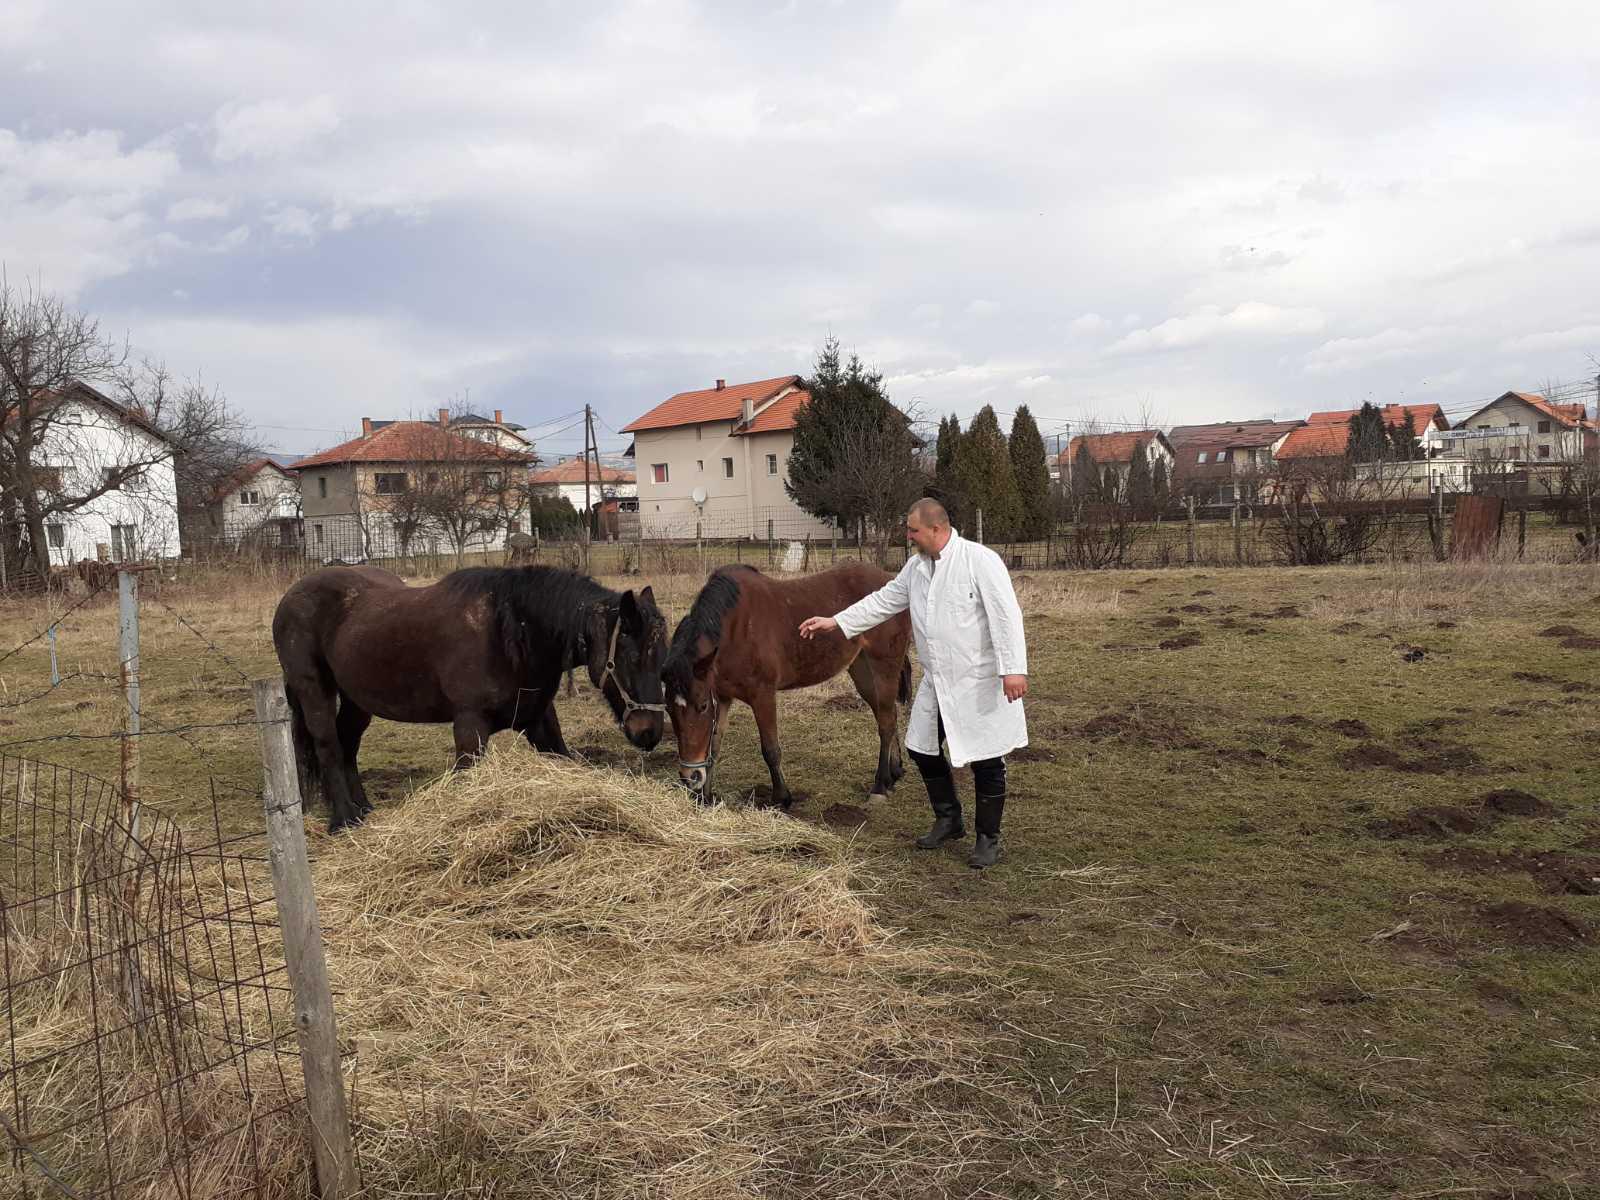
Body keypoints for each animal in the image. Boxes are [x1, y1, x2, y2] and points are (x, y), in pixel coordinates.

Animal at [275, 563, 668, 825]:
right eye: (630, 657)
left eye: (660, 656)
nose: (649, 732)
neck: (512, 633)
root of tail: (291, 596)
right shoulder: (469, 727)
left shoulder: (538, 719)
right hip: (314, 690)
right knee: (328, 746)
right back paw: (344, 820)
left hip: (358, 700)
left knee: (348, 745)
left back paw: (363, 810)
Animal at [662, 563, 915, 809]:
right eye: (669, 710)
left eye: (703, 706)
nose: (690, 777)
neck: (734, 627)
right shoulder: (723, 696)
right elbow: (714, 746)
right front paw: (705, 797)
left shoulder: (762, 695)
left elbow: (770, 749)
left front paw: (781, 797)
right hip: (862, 671)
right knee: (887, 715)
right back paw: (893, 773)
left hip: (884, 667)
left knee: (886, 723)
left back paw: (879, 787)